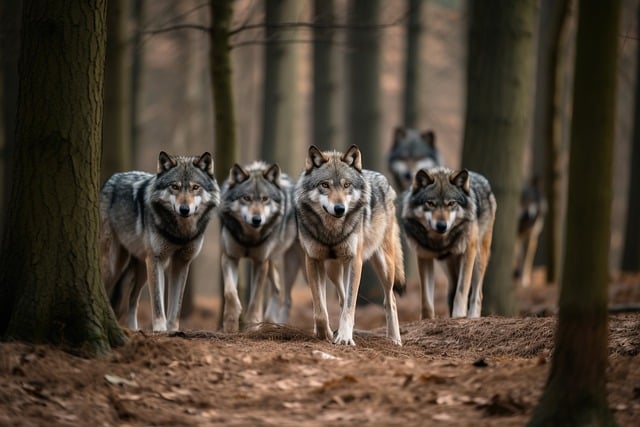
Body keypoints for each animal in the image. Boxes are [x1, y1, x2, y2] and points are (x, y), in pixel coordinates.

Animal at [99, 152, 220, 332]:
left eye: (195, 187)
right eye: (175, 187)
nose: (184, 209)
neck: (180, 233)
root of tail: (111, 179)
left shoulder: (181, 262)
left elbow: (176, 306)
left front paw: (173, 330)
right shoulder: (157, 260)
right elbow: (157, 301)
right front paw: (160, 329)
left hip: (141, 269)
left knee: (132, 300)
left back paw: (134, 329)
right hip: (114, 265)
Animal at [218, 162, 302, 332]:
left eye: (265, 199)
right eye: (246, 198)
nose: (257, 219)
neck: (250, 238)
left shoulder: (260, 262)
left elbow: (255, 298)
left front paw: (252, 326)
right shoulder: (230, 257)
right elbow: (230, 292)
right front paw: (230, 324)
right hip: (275, 263)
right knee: (278, 290)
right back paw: (272, 322)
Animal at [296, 145, 404, 346]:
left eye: (346, 185)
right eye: (325, 185)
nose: (340, 209)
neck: (332, 231)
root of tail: (382, 178)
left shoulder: (355, 261)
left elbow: (350, 305)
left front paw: (345, 338)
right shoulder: (313, 260)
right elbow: (320, 308)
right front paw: (324, 333)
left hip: (384, 266)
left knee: (390, 299)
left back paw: (394, 339)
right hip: (332, 269)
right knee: (341, 297)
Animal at [402, 166, 498, 318]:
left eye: (452, 203)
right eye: (430, 203)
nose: (442, 225)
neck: (440, 241)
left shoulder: (468, 253)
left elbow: (461, 290)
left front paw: (459, 316)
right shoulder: (424, 256)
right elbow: (426, 299)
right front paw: (427, 319)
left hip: (478, 259)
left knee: (477, 294)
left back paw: (472, 317)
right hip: (447, 266)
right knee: (452, 289)